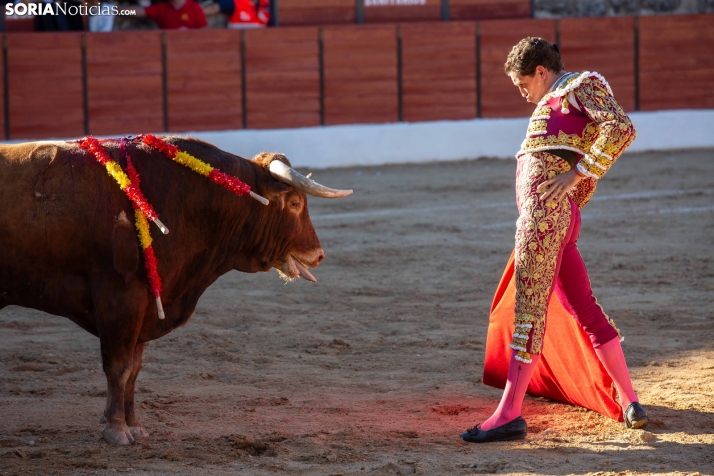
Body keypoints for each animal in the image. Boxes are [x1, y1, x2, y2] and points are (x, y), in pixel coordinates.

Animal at [0, 136, 350, 444]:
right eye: (295, 203)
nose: (318, 254)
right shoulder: (121, 301)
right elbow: (118, 367)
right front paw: (117, 430)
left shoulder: (144, 309)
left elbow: (133, 371)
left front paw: (136, 427)